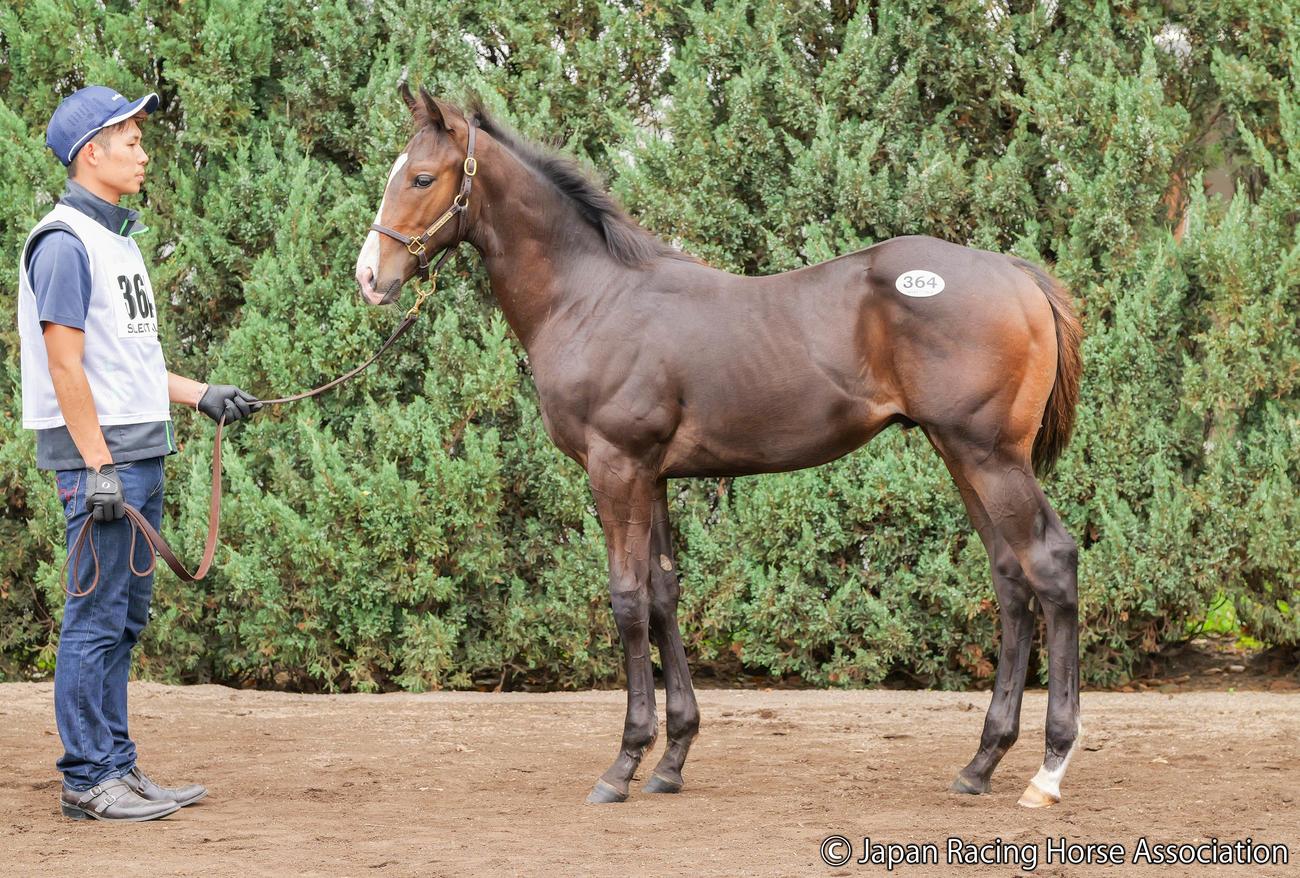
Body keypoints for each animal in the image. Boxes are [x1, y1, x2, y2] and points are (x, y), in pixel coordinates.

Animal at [354, 86, 1084, 809]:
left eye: (422, 178)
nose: (369, 277)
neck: (592, 298)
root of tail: (1016, 275)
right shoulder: (652, 475)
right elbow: (662, 595)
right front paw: (671, 759)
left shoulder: (616, 467)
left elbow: (626, 599)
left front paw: (622, 764)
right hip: (961, 455)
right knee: (1010, 578)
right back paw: (981, 763)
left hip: (989, 456)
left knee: (1050, 563)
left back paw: (1048, 770)